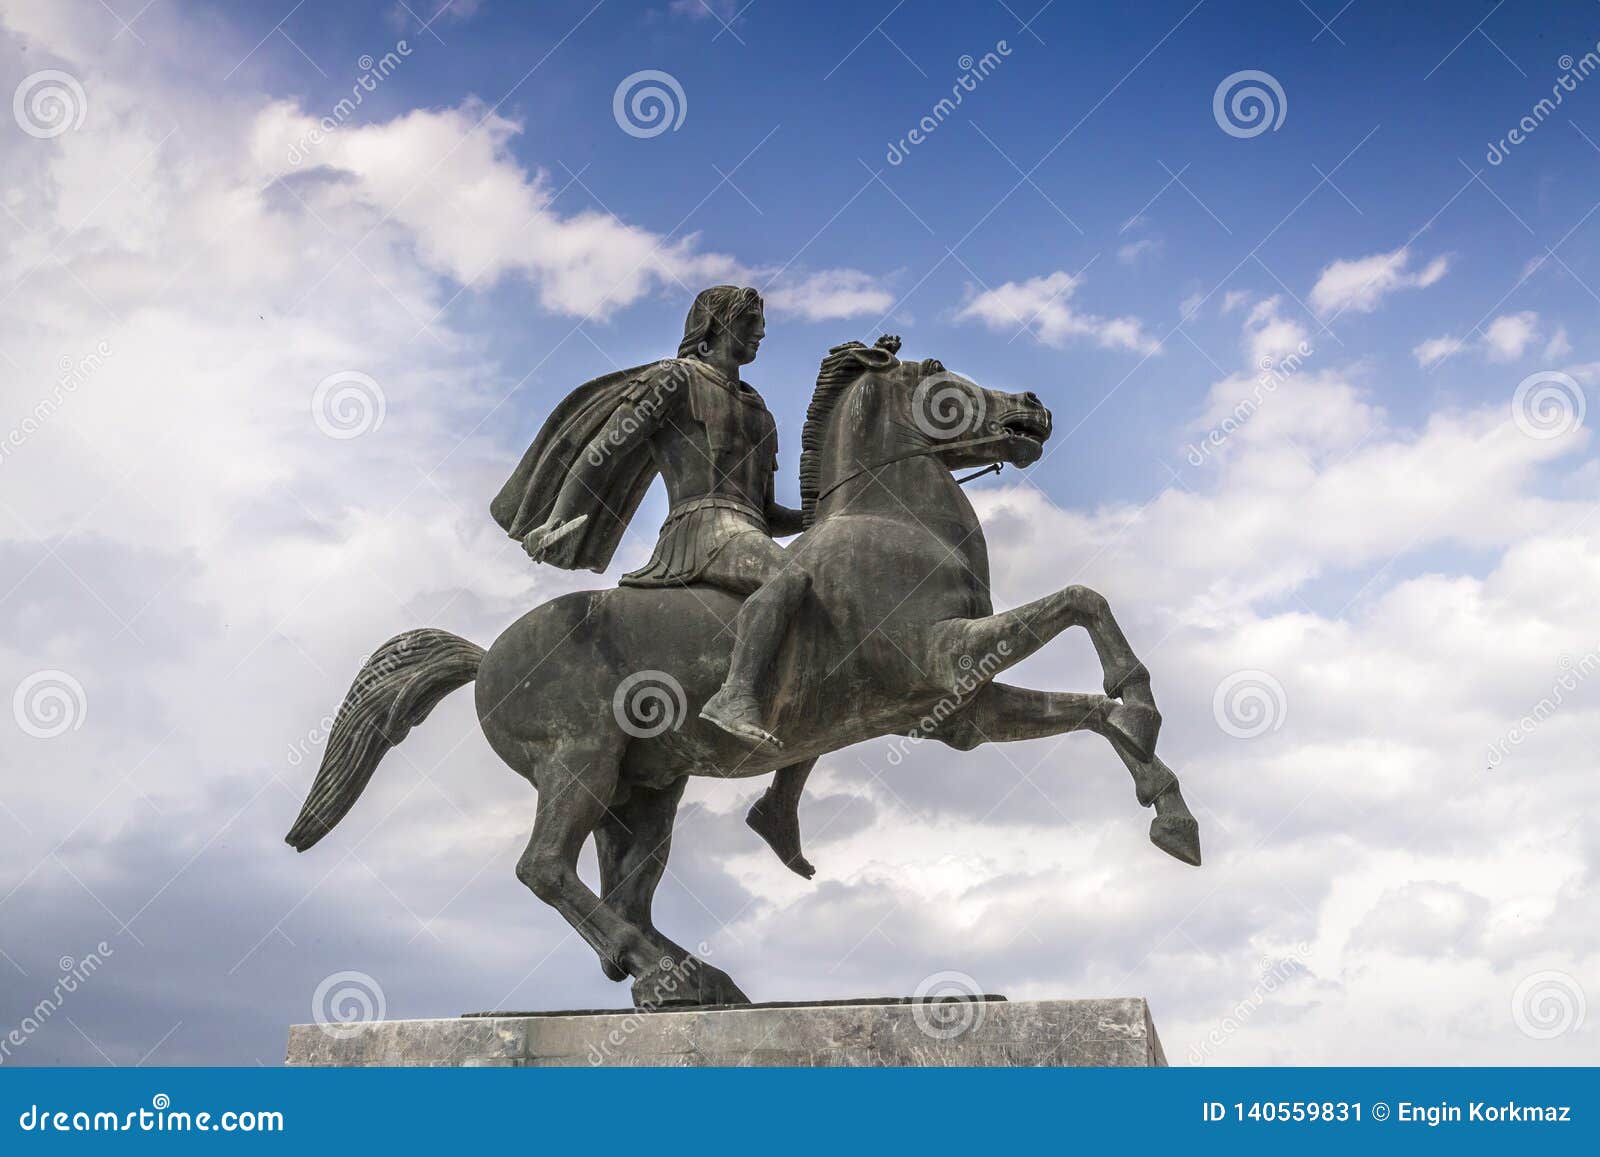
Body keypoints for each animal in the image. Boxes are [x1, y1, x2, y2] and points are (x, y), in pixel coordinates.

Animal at [291, 339, 1203, 1011]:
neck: (895, 522)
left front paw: (1172, 812)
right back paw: (665, 971)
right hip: (578, 762)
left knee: (624, 888)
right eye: (939, 376)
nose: (1032, 410)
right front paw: (1144, 704)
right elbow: (1082, 599)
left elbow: (1092, 707)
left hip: (643, 791)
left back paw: (689, 974)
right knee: (544, 867)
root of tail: (486, 657)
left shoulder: (958, 712)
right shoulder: (946, 655)